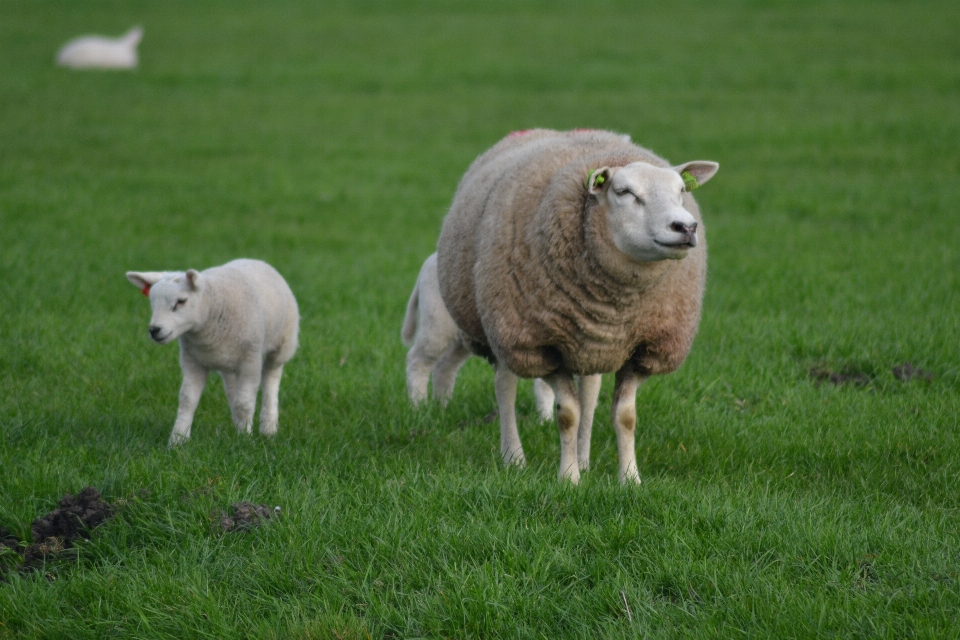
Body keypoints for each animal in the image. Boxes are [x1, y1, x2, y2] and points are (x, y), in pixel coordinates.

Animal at [127, 258, 298, 444]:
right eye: (152, 303)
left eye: (181, 301)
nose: (154, 330)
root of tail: (253, 260)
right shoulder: (192, 360)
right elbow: (187, 399)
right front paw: (178, 439)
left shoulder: (250, 360)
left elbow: (244, 403)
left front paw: (245, 438)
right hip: (229, 362)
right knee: (232, 390)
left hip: (283, 343)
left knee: (271, 379)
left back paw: (268, 428)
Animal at [438, 127, 716, 482]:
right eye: (624, 192)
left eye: (681, 190)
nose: (686, 227)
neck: (616, 304)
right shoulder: (542, 346)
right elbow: (567, 413)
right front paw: (568, 479)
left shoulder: (644, 349)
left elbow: (625, 416)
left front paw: (629, 479)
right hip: (504, 330)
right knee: (505, 387)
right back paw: (514, 457)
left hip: (586, 343)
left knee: (590, 391)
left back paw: (584, 457)